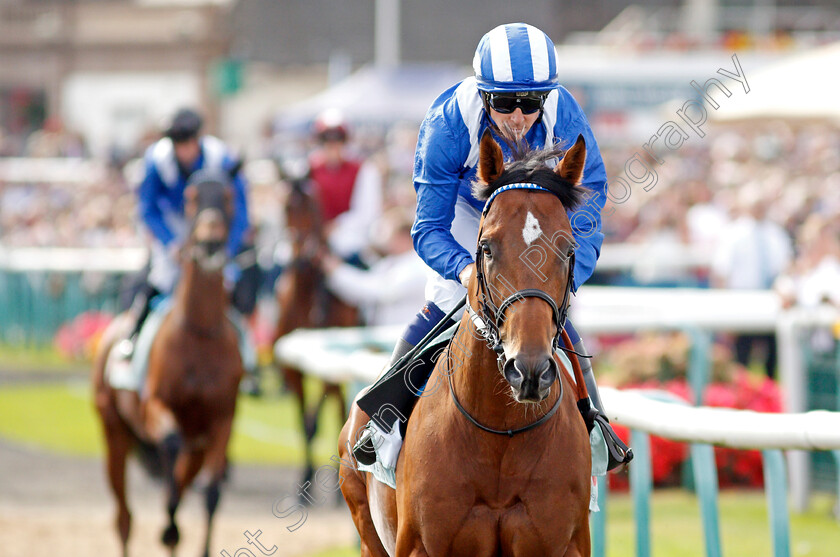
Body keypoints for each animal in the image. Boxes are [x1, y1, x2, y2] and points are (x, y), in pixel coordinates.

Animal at [93, 169, 243, 556]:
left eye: (228, 197)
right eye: (190, 197)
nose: (209, 245)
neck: (200, 333)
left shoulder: (222, 420)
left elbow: (211, 494)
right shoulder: (154, 408)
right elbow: (171, 454)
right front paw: (169, 528)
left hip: (195, 446)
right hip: (114, 431)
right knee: (124, 517)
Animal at [272, 177, 358, 486]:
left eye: (310, 206)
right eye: (286, 207)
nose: (300, 258)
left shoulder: (328, 359)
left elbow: (316, 421)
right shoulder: (291, 365)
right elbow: (304, 423)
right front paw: (304, 475)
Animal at [338, 132, 592, 552]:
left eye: (569, 248)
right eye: (487, 247)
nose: (529, 370)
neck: (500, 431)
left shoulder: (560, 543)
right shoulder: (421, 545)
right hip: (364, 524)